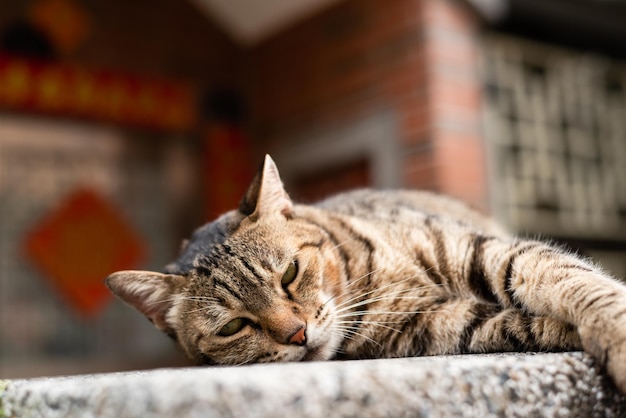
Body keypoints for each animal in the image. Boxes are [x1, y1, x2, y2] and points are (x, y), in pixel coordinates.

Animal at [107, 153, 626, 392]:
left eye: (290, 273)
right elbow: (526, 323)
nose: (297, 334)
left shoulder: (483, 250)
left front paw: (615, 334)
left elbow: (571, 279)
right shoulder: (441, 325)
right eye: (234, 326)